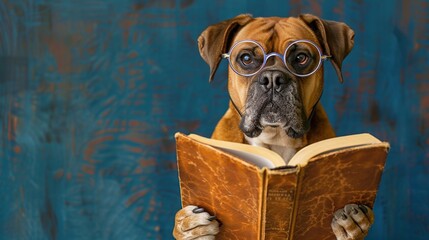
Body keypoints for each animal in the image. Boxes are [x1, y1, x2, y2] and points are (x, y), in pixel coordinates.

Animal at [172, 14, 372, 239]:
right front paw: (188, 224)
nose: (273, 79)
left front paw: (352, 221)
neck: (275, 138)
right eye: (246, 58)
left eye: (301, 58)